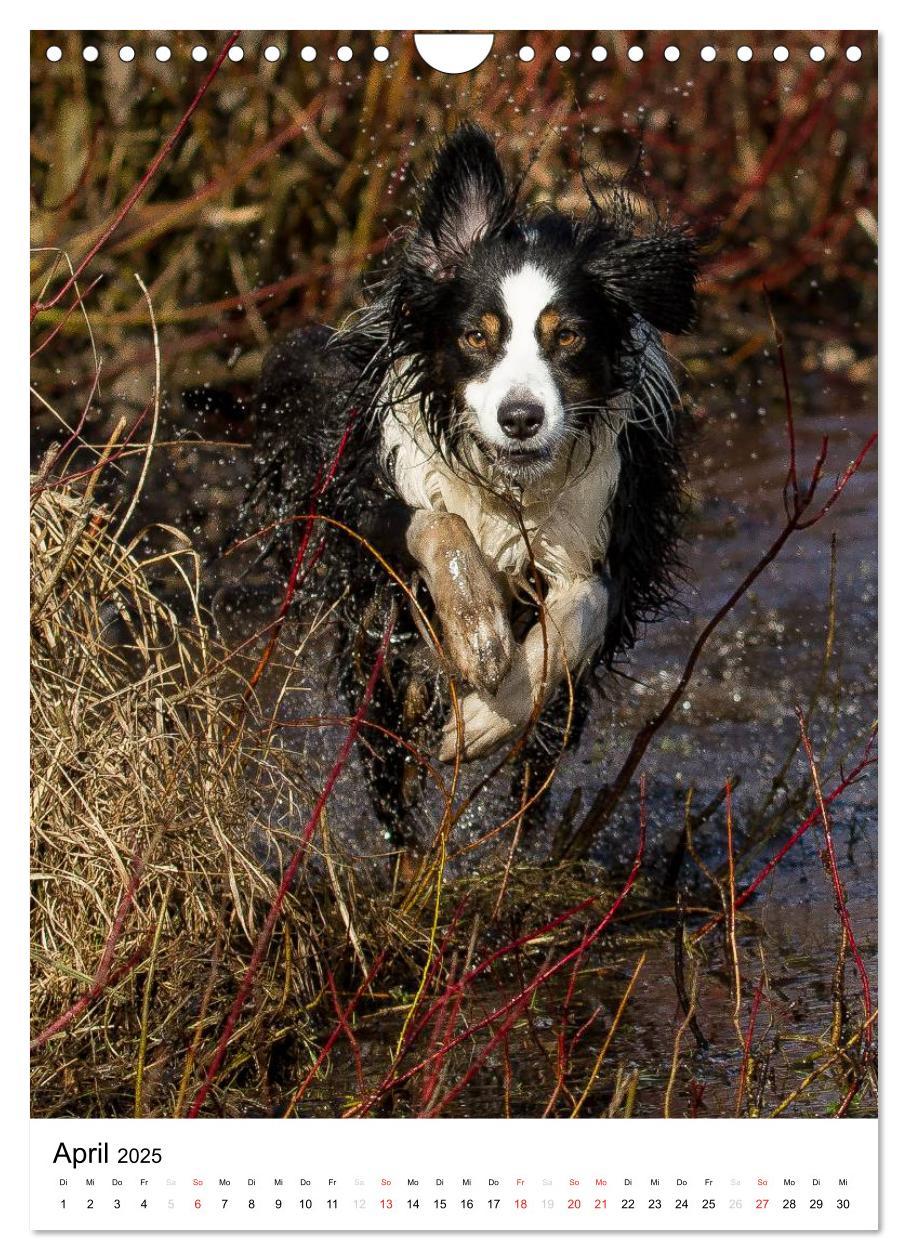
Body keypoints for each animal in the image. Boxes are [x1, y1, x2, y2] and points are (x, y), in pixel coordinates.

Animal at [244, 122, 700, 851]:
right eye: (476, 336)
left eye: (569, 337)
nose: (521, 418)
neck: (507, 486)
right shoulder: (368, 495)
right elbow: (437, 521)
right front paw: (480, 632)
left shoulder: (611, 529)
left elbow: (580, 607)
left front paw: (488, 715)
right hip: (376, 660)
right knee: (390, 767)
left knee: (533, 773)